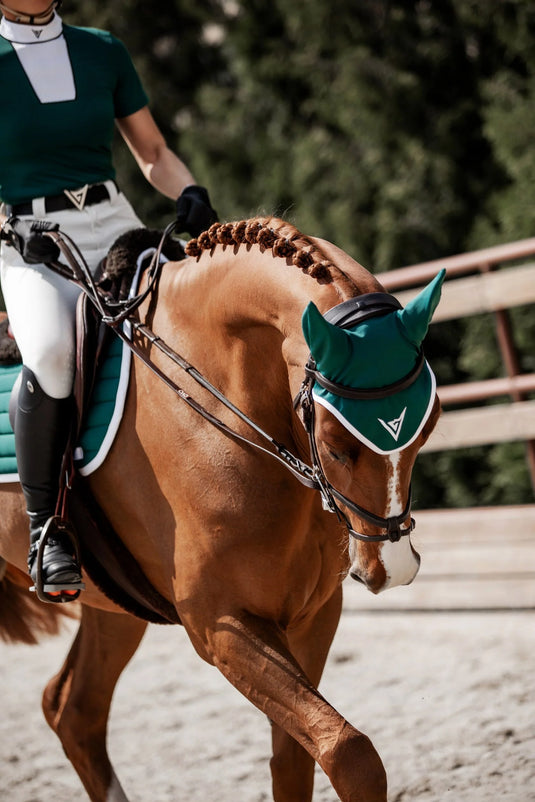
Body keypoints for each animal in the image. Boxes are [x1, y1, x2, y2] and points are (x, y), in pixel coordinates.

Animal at [0, 217, 443, 802]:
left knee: (73, 709)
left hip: (113, 606)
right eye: (335, 443)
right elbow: (350, 753)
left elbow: (298, 758)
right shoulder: (222, 626)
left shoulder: (311, 613)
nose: (392, 569)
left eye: (429, 424)